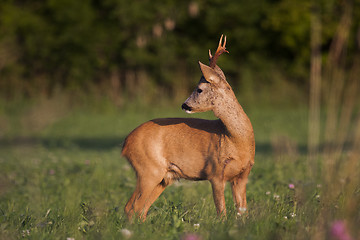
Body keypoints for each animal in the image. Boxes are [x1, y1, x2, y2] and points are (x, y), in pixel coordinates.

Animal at [122, 35, 255, 221]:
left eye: (199, 89)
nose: (184, 105)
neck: (235, 140)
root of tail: (125, 143)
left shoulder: (243, 176)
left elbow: (243, 212)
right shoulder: (215, 171)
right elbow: (221, 212)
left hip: (163, 177)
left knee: (140, 210)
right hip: (148, 169)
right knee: (132, 207)